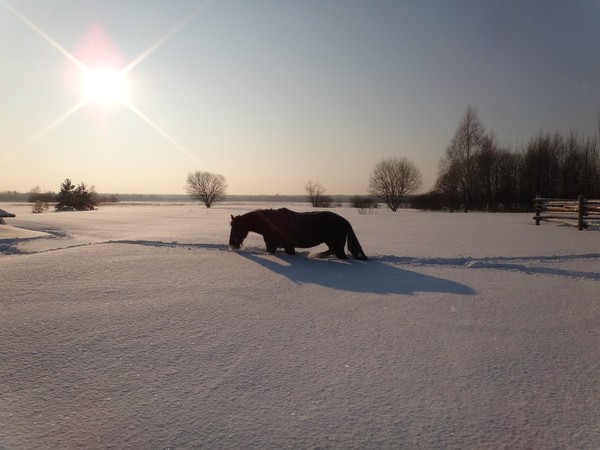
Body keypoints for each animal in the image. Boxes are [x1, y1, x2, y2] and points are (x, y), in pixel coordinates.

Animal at [230, 207, 368, 260]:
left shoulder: (273, 246)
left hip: (336, 245)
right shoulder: (287, 247)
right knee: (331, 251)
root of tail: (344, 221)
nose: (232, 244)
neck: (270, 223)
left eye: (235, 226)